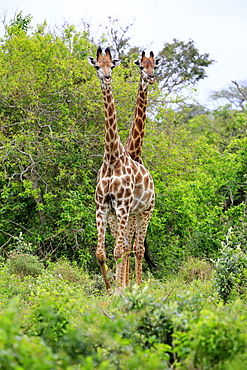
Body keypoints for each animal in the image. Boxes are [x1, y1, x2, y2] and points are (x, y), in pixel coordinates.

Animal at [88, 46, 154, 290]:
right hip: (123, 215)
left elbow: (119, 250)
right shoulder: (102, 206)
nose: (107, 78)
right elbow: (100, 253)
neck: (112, 156)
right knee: (129, 247)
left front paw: (120, 291)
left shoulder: (124, 205)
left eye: (112, 66)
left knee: (137, 248)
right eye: (98, 66)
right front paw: (109, 290)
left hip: (145, 211)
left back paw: (137, 285)